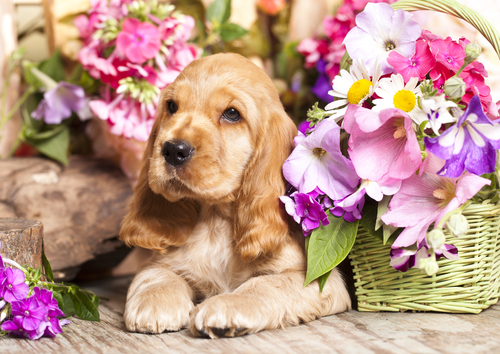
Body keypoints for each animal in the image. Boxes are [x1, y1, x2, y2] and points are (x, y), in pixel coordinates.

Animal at [118, 51, 350, 338]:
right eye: (171, 106)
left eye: (231, 113)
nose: (173, 150)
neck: (216, 218)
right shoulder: (162, 261)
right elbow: (154, 275)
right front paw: (156, 302)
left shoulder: (321, 281)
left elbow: (266, 284)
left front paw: (226, 304)